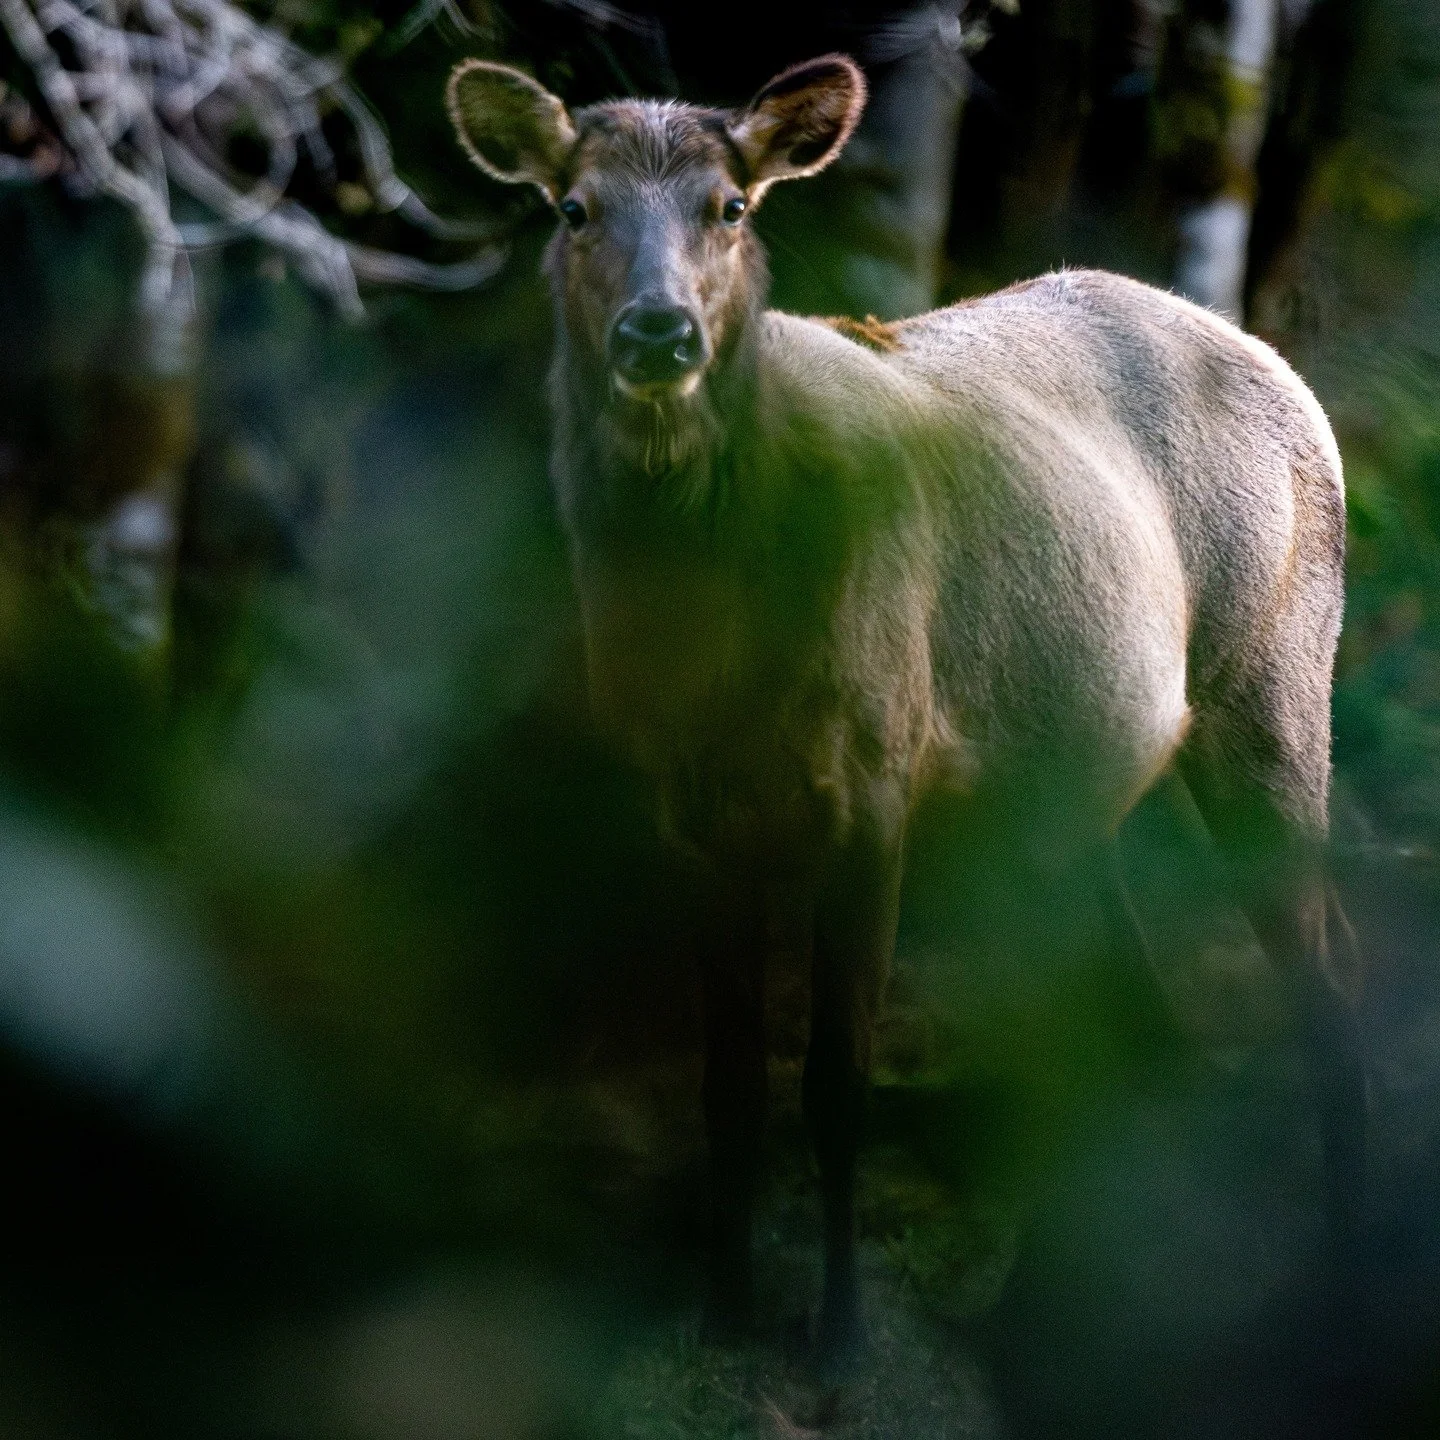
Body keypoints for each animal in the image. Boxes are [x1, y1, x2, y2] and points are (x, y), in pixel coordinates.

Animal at [445, 52, 1365, 1367]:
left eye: (732, 206)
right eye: (574, 208)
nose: (659, 331)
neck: (718, 649)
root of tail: (1284, 368)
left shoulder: (875, 771)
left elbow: (837, 1081)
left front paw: (839, 1333)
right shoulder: (683, 809)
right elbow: (730, 1088)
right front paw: (726, 1311)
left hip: (1276, 675)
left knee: (1329, 978)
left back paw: (1341, 1277)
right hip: (1063, 784)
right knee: (1128, 1018)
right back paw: (1049, 1309)